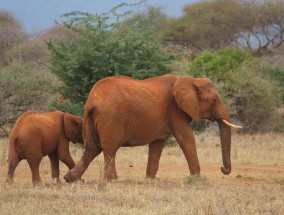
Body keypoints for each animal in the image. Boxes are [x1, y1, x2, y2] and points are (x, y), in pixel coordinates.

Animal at [63, 74, 240, 182]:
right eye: (215, 100)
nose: (223, 168)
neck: (190, 80)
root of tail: (92, 100)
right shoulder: (174, 110)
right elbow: (186, 137)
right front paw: (197, 178)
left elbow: (157, 144)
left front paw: (150, 179)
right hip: (111, 118)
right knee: (109, 149)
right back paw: (112, 180)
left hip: (91, 119)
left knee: (91, 148)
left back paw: (70, 178)